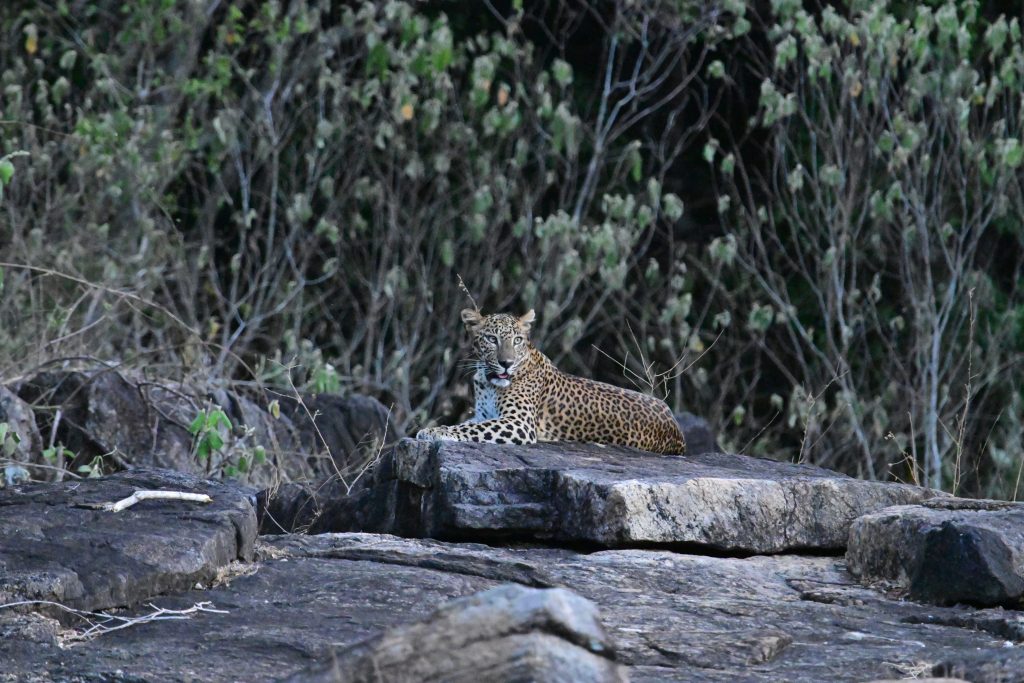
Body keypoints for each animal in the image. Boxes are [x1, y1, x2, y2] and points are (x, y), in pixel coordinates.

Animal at [415, 308, 686, 454]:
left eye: (516, 340)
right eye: (492, 339)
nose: (506, 363)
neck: (488, 380)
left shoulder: (519, 423)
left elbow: (468, 429)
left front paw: (433, 431)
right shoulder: (484, 415)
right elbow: (467, 425)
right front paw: (436, 428)